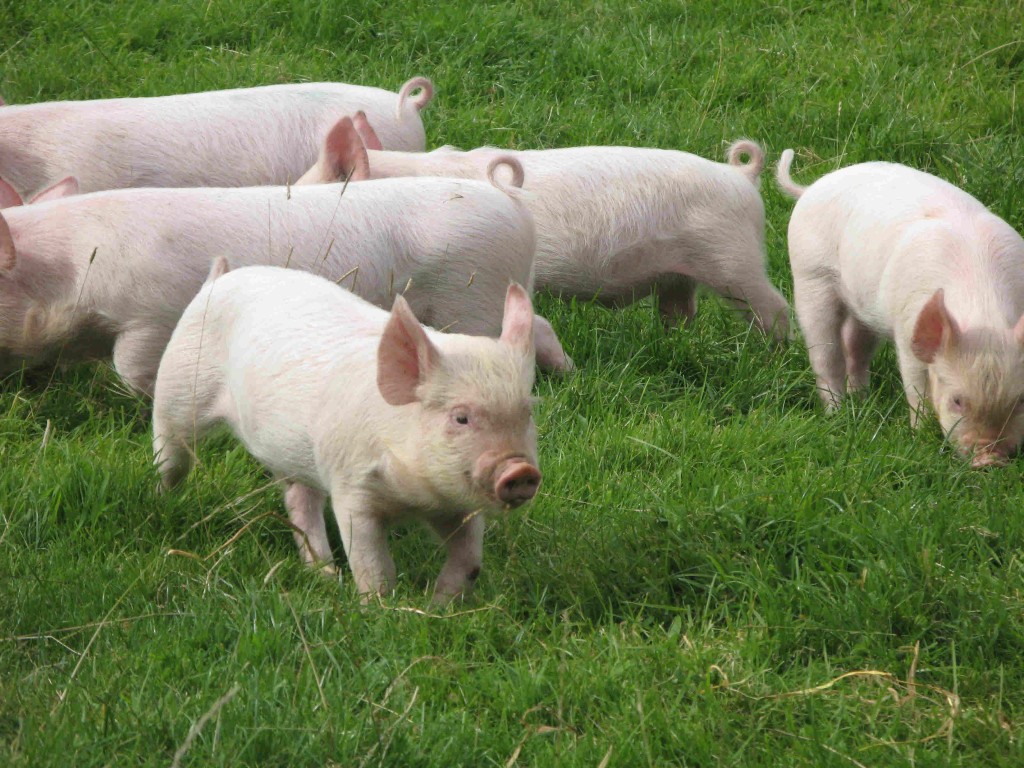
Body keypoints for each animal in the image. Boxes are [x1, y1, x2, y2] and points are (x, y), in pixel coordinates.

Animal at [0, 160, 571, 394]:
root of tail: (512, 203)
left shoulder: (150, 315)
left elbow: (134, 368)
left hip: (472, 298)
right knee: (539, 325)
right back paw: (567, 373)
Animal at [153, 263, 541, 601]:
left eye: (527, 413)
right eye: (461, 418)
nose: (520, 470)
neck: (413, 498)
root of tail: (218, 277)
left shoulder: (455, 505)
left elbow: (469, 561)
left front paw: (438, 607)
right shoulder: (352, 487)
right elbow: (373, 566)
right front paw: (382, 609)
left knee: (300, 501)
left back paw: (324, 574)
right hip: (177, 386)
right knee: (170, 450)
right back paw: (165, 499)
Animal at [777, 149, 1024, 467]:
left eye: (1021, 400)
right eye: (957, 400)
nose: (990, 459)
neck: (982, 307)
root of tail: (810, 189)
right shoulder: (908, 332)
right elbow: (916, 387)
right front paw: (919, 434)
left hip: (863, 304)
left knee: (856, 347)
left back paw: (862, 400)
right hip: (810, 275)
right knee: (825, 354)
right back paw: (837, 413)